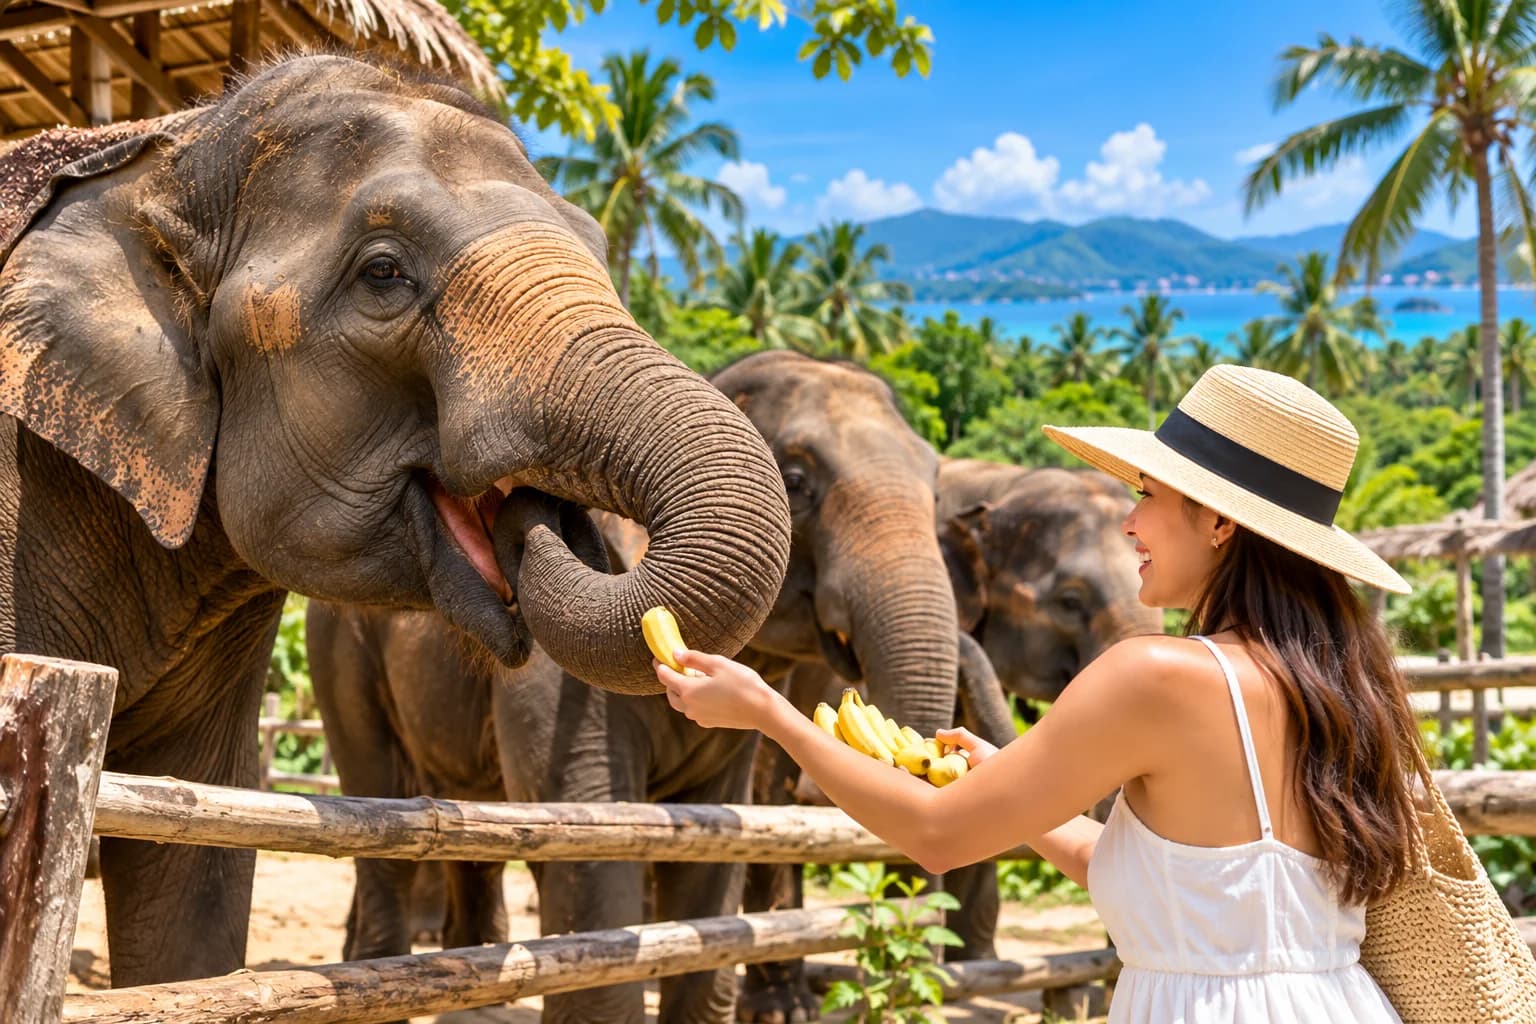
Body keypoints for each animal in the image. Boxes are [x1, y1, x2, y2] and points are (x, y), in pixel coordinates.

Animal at [310, 350, 960, 1023]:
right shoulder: (557, 688)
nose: (533, 499)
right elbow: (590, 839)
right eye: (800, 481)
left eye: (937, 492)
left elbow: (716, 841)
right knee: (382, 801)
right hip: (339, 651)